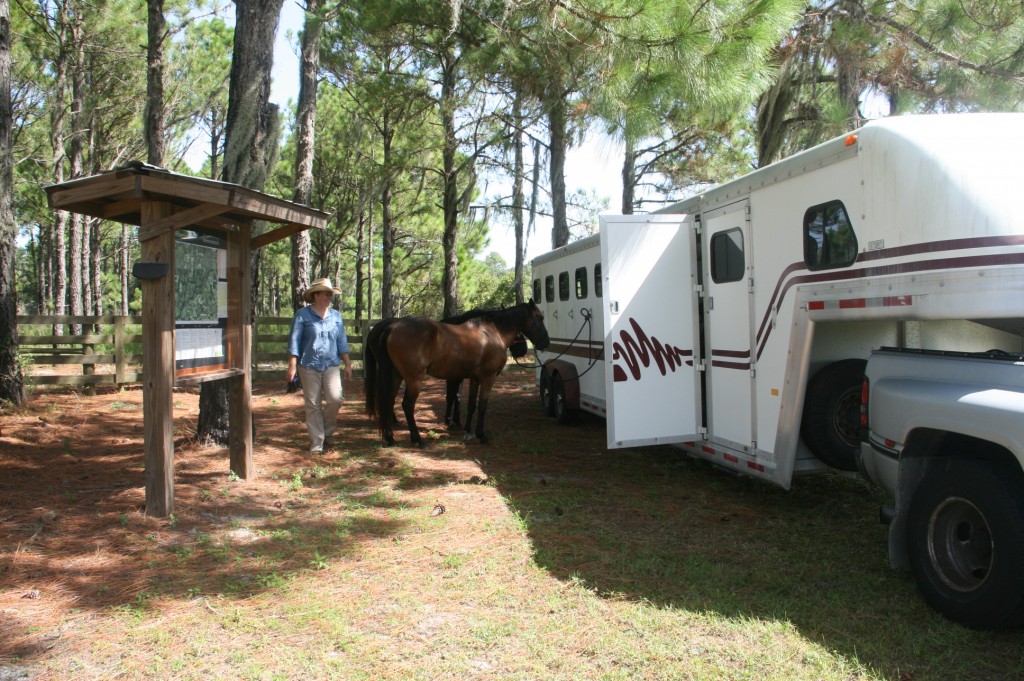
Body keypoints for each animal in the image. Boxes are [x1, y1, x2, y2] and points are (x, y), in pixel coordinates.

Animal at [364, 301, 548, 444]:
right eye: (539, 318)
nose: (545, 342)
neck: (491, 333)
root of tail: (391, 327)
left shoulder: (474, 378)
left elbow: (471, 404)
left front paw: (467, 431)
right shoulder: (487, 378)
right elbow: (482, 405)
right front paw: (481, 435)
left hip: (396, 376)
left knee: (388, 402)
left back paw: (390, 438)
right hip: (414, 379)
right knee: (407, 405)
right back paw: (417, 439)